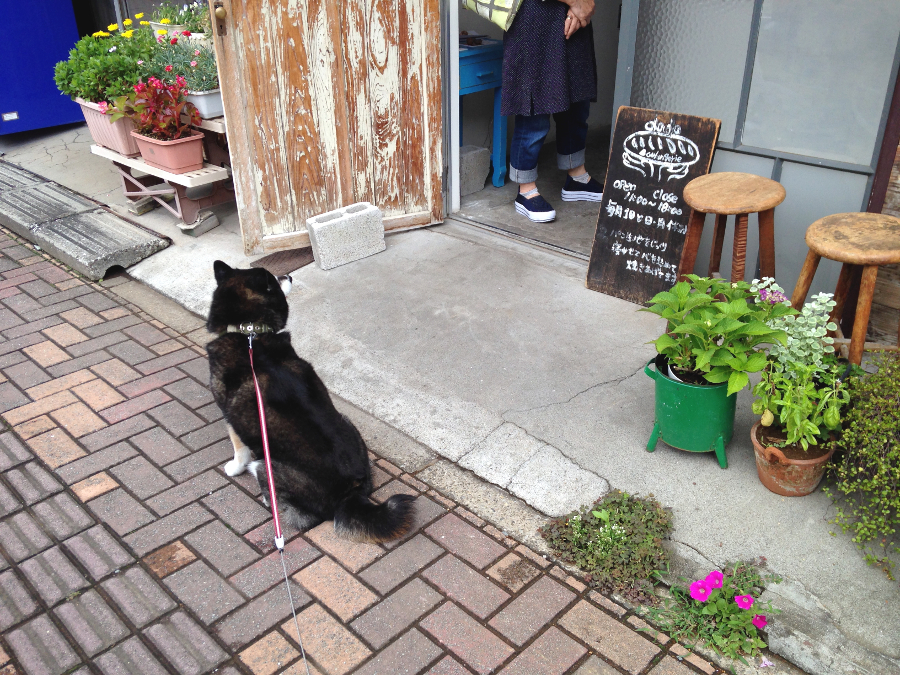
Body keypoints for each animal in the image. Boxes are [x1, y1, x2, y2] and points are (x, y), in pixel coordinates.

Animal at [205, 261, 416, 542]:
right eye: (274, 279)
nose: (289, 275)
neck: (249, 333)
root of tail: (348, 492)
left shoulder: (230, 417)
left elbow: (239, 449)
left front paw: (234, 468)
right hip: (349, 425)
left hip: (268, 466)